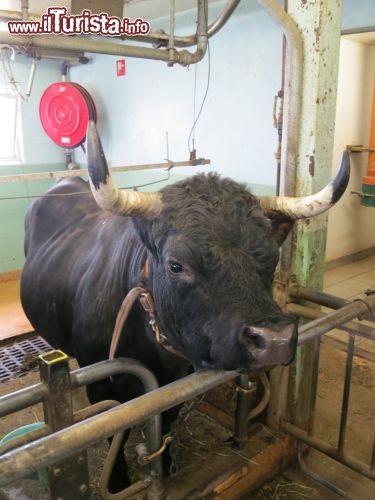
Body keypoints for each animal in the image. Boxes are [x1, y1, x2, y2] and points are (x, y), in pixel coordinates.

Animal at [19, 122, 350, 492]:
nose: (274, 339)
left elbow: (165, 424)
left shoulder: (176, 382)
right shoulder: (101, 386)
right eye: (176, 265)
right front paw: (117, 483)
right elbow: (115, 433)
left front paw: (166, 466)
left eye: (272, 256)